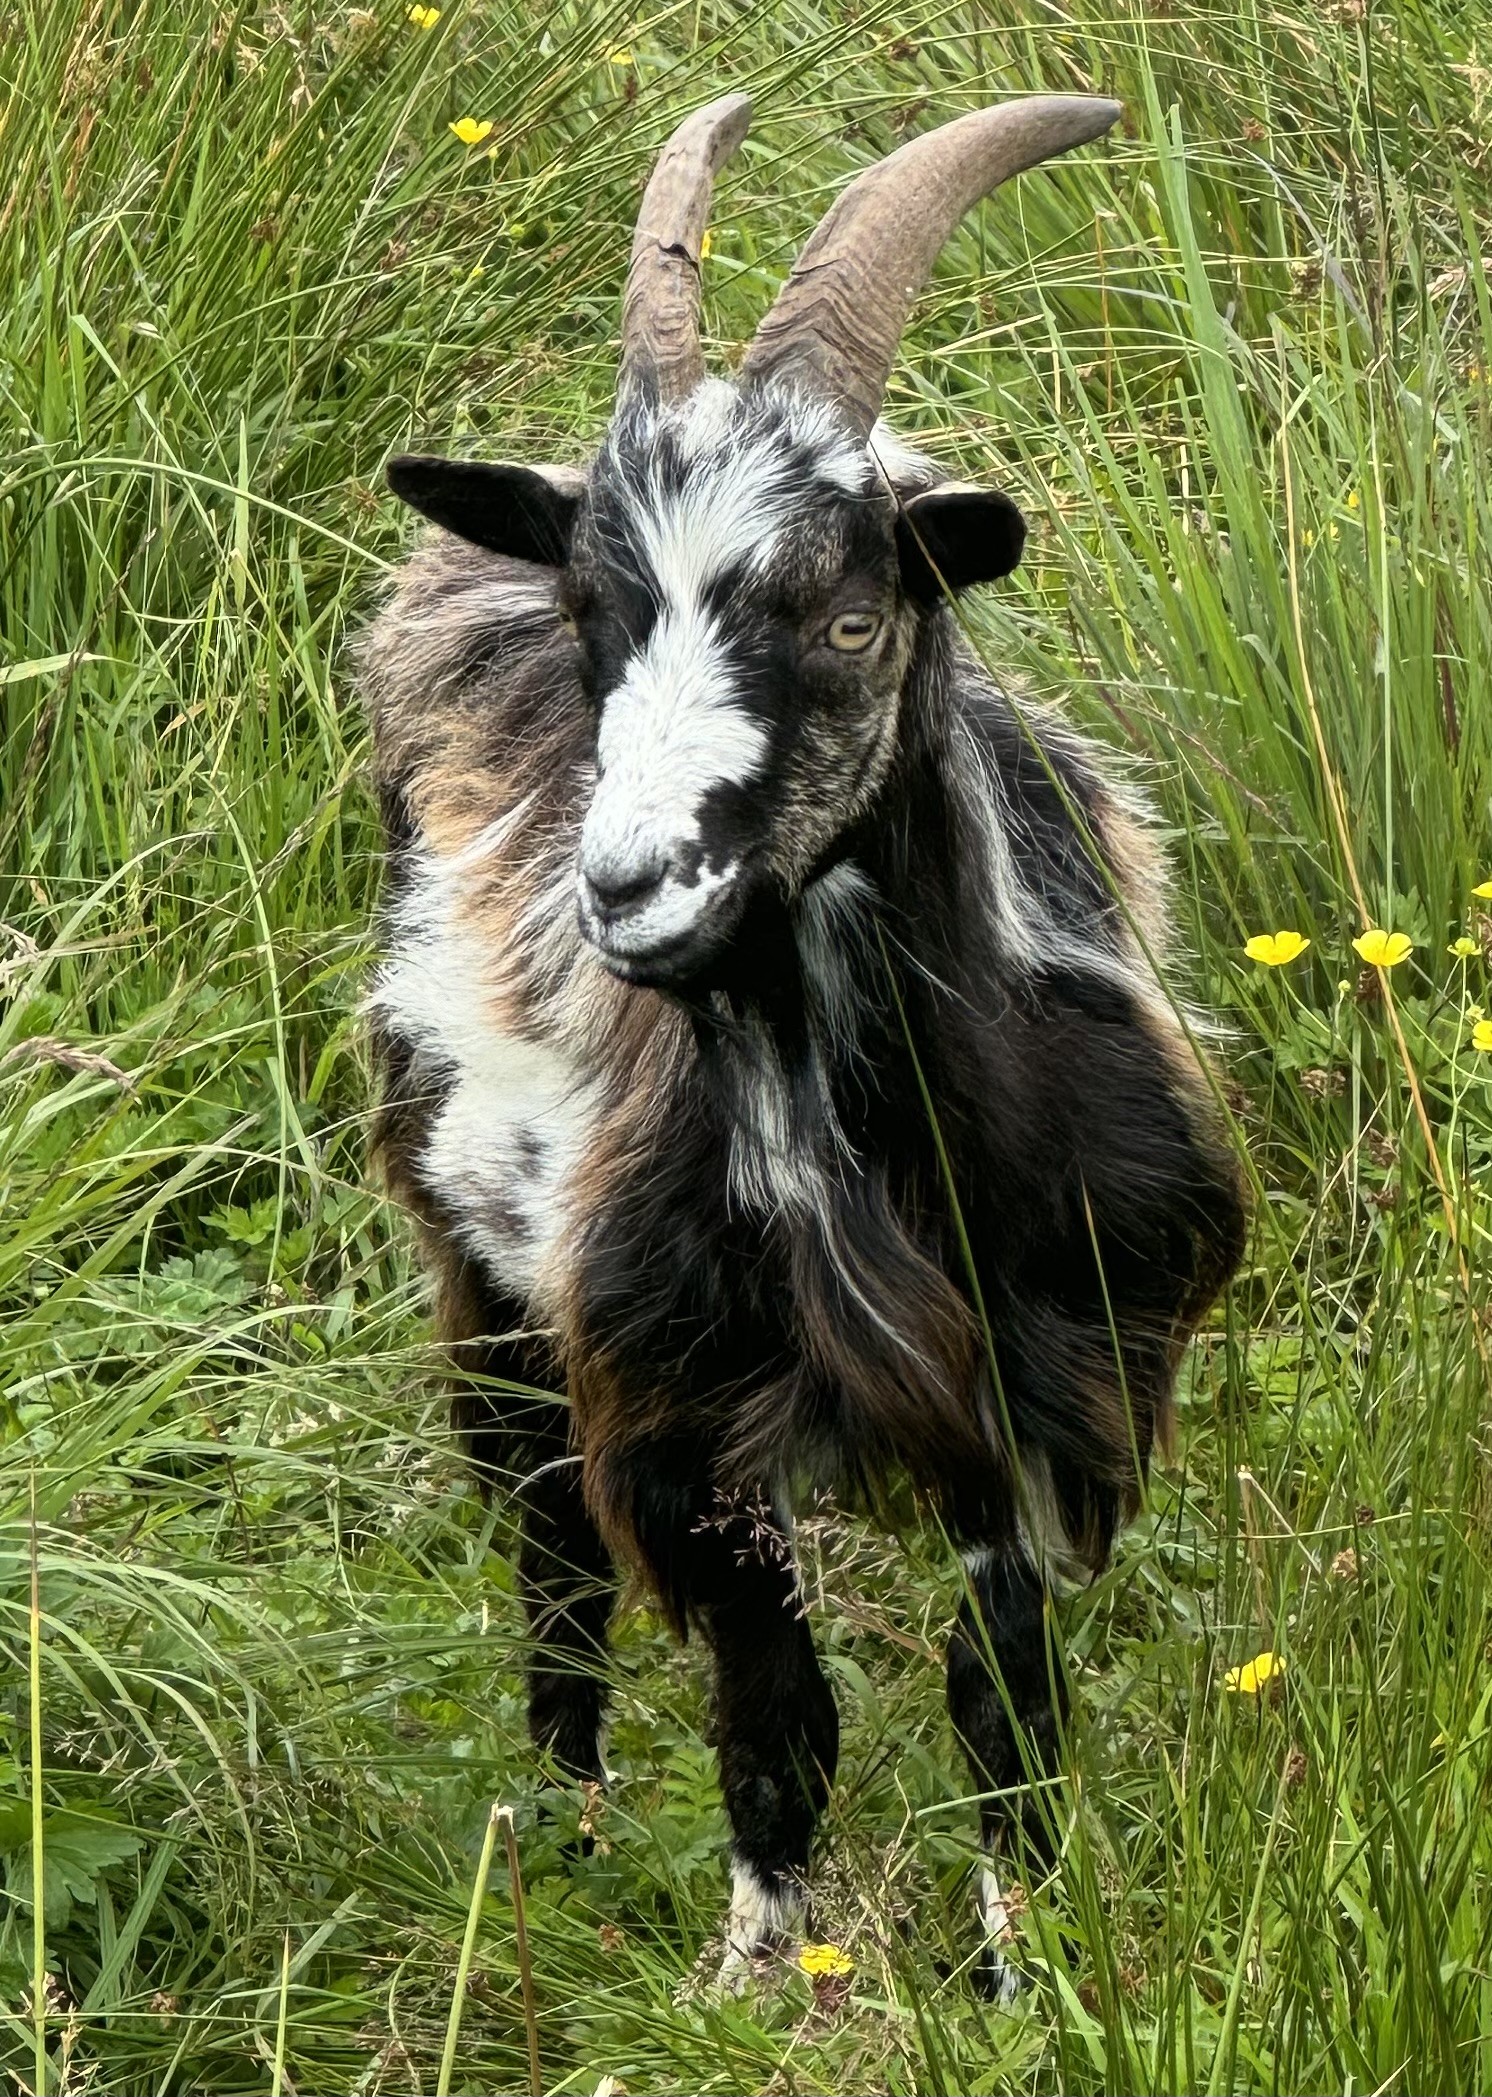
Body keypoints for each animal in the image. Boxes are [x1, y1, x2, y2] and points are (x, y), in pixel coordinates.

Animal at [360, 94, 1246, 1997]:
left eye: (847, 617)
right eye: (596, 618)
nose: (627, 889)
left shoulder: (1054, 1378)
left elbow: (1004, 1701)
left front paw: (1020, 1969)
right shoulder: (683, 1403)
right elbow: (776, 1715)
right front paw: (763, 1973)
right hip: (479, 1277)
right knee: (550, 1571)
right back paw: (568, 1840)